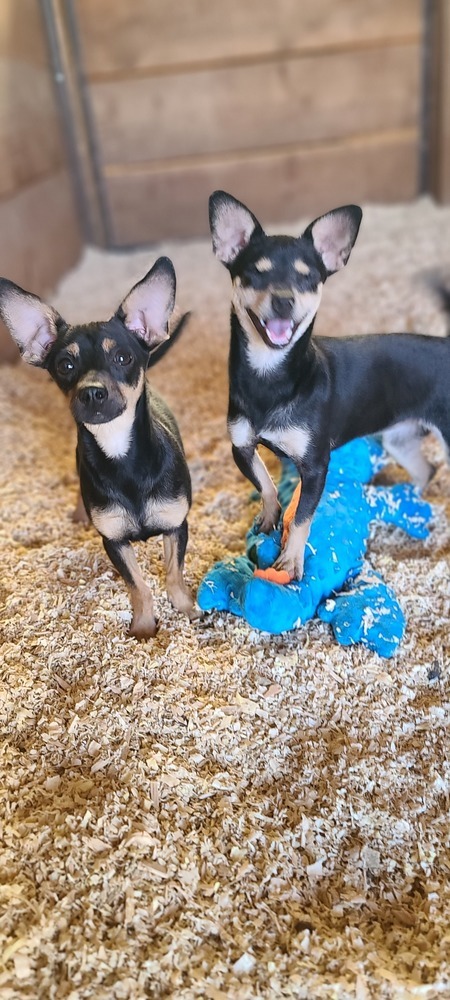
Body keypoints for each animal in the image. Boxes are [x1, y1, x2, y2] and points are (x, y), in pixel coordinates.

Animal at [0, 258, 197, 640]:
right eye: (65, 365)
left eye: (122, 357)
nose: (91, 392)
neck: (121, 452)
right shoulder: (114, 542)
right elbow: (139, 586)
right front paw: (144, 628)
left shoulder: (176, 526)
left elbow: (172, 575)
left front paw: (187, 609)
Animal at [209, 191, 448, 584]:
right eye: (256, 273)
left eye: (308, 279)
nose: (284, 299)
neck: (270, 376)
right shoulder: (241, 447)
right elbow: (266, 483)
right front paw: (270, 516)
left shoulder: (316, 466)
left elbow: (303, 519)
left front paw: (291, 563)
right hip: (398, 440)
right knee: (425, 471)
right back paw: (408, 502)